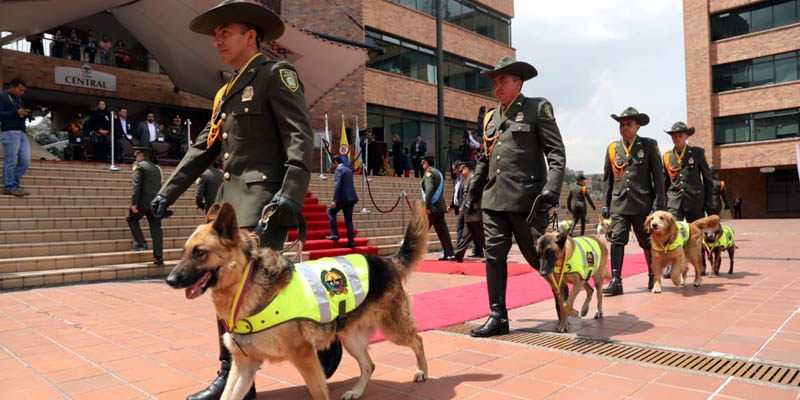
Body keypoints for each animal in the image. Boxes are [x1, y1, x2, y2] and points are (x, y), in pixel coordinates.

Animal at [166, 203, 432, 400]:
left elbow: (319, 394)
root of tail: (387, 261)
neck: (247, 280)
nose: (169, 280)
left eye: (199, 252)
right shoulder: (244, 365)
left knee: (418, 340)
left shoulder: (305, 357)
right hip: (351, 339)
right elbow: (227, 396)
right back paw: (356, 391)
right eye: (184, 251)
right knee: (369, 365)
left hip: (394, 330)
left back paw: (422, 371)